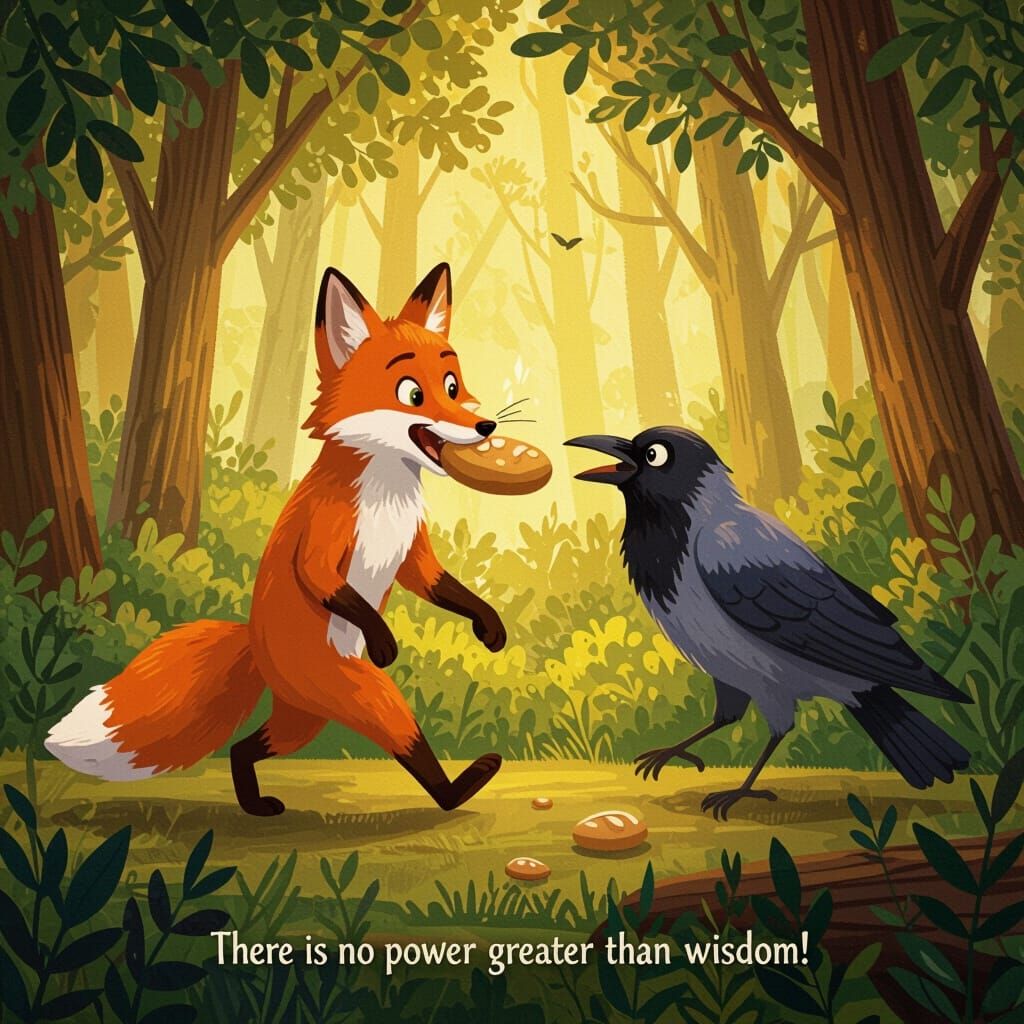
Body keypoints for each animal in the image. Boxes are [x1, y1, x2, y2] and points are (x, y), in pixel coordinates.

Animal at [45, 263, 508, 815]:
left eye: (454, 386)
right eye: (414, 394)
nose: (486, 425)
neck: (385, 494)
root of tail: (254, 643)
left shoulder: (411, 554)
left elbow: (441, 586)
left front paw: (489, 625)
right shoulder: (325, 535)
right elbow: (322, 579)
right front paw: (382, 638)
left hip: (304, 720)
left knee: (245, 747)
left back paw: (256, 802)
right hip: (360, 695)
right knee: (391, 735)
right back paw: (459, 789)